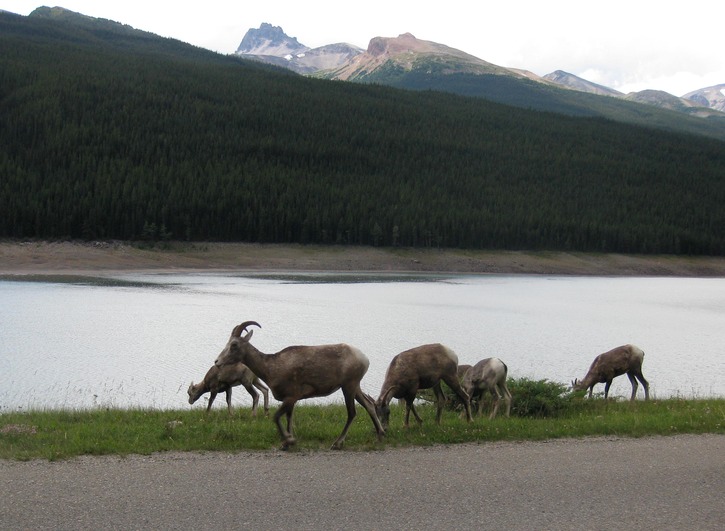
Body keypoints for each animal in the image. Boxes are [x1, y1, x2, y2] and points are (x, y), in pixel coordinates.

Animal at [214, 322, 384, 450]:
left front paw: (289, 440)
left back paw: (337, 444)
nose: (217, 361)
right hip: (355, 387)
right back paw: (380, 435)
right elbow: (289, 419)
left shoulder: (291, 397)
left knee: (352, 413)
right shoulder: (291, 401)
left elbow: (276, 417)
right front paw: (287, 443)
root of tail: (364, 359)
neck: (271, 368)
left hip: (348, 386)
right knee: (369, 405)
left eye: (234, 345)